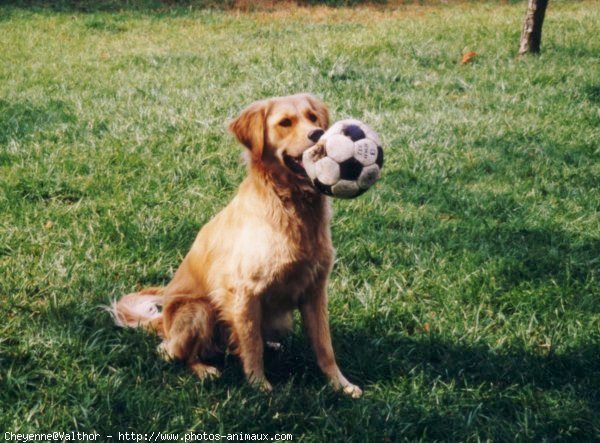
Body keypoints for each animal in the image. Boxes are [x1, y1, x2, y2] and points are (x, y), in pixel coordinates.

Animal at [109, 93, 360, 398]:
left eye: (313, 117)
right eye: (285, 123)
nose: (318, 134)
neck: (291, 205)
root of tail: (164, 324)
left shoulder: (315, 289)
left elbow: (325, 347)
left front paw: (341, 385)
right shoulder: (243, 292)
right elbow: (251, 345)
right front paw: (259, 386)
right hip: (198, 310)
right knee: (173, 353)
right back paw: (204, 369)